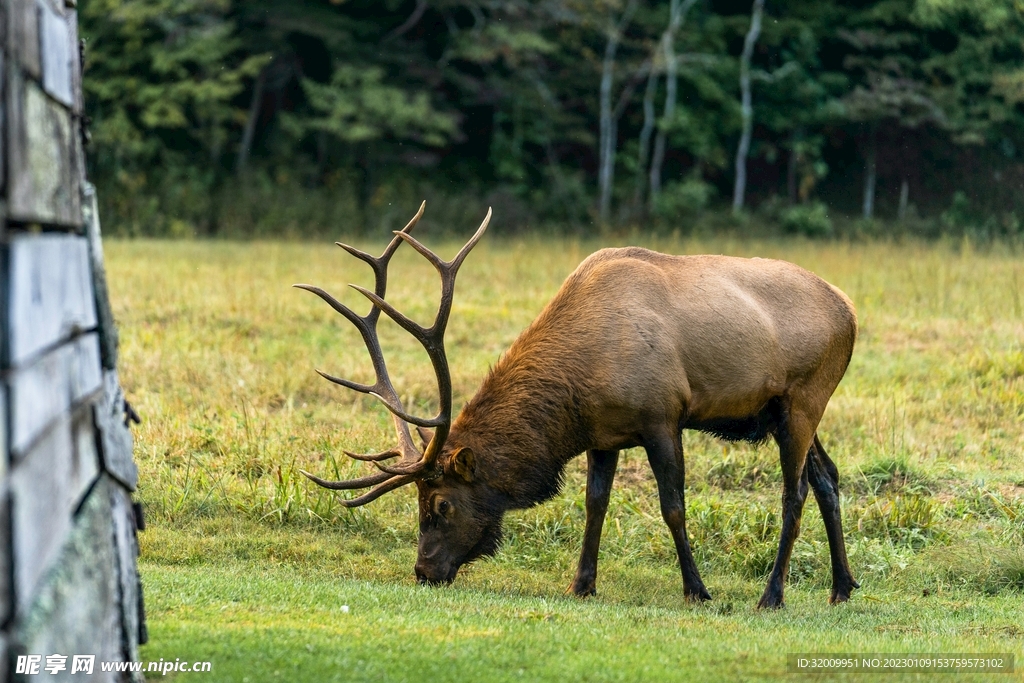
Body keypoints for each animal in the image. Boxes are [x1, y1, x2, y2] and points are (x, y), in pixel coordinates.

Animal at [296, 202, 859, 609]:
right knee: (827, 477)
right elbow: (595, 503)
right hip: (783, 411)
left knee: (794, 492)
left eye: (441, 505)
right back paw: (842, 586)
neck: (577, 385)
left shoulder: (662, 416)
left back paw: (772, 595)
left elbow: (672, 506)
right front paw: (581, 583)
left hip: (807, 396)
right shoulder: (603, 434)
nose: (423, 571)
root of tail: (851, 312)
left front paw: (697, 590)